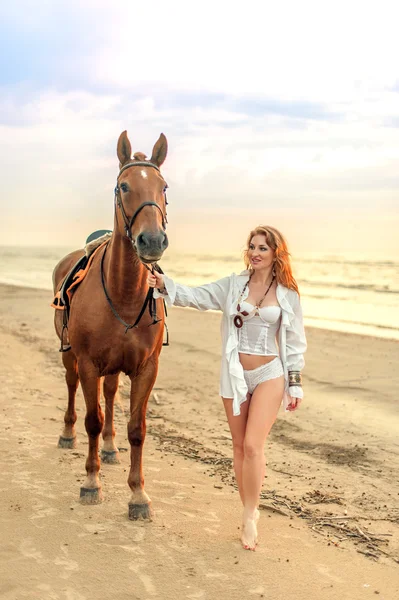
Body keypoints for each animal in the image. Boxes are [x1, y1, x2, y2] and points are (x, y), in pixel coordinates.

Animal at [52, 131, 169, 520]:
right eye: (123, 186)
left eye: (163, 187)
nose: (152, 240)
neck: (123, 292)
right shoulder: (89, 363)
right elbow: (93, 418)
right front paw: (91, 482)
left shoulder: (146, 368)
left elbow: (137, 428)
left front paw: (138, 494)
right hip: (70, 356)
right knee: (73, 388)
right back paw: (68, 434)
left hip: (116, 368)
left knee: (111, 393)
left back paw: (109, 448)